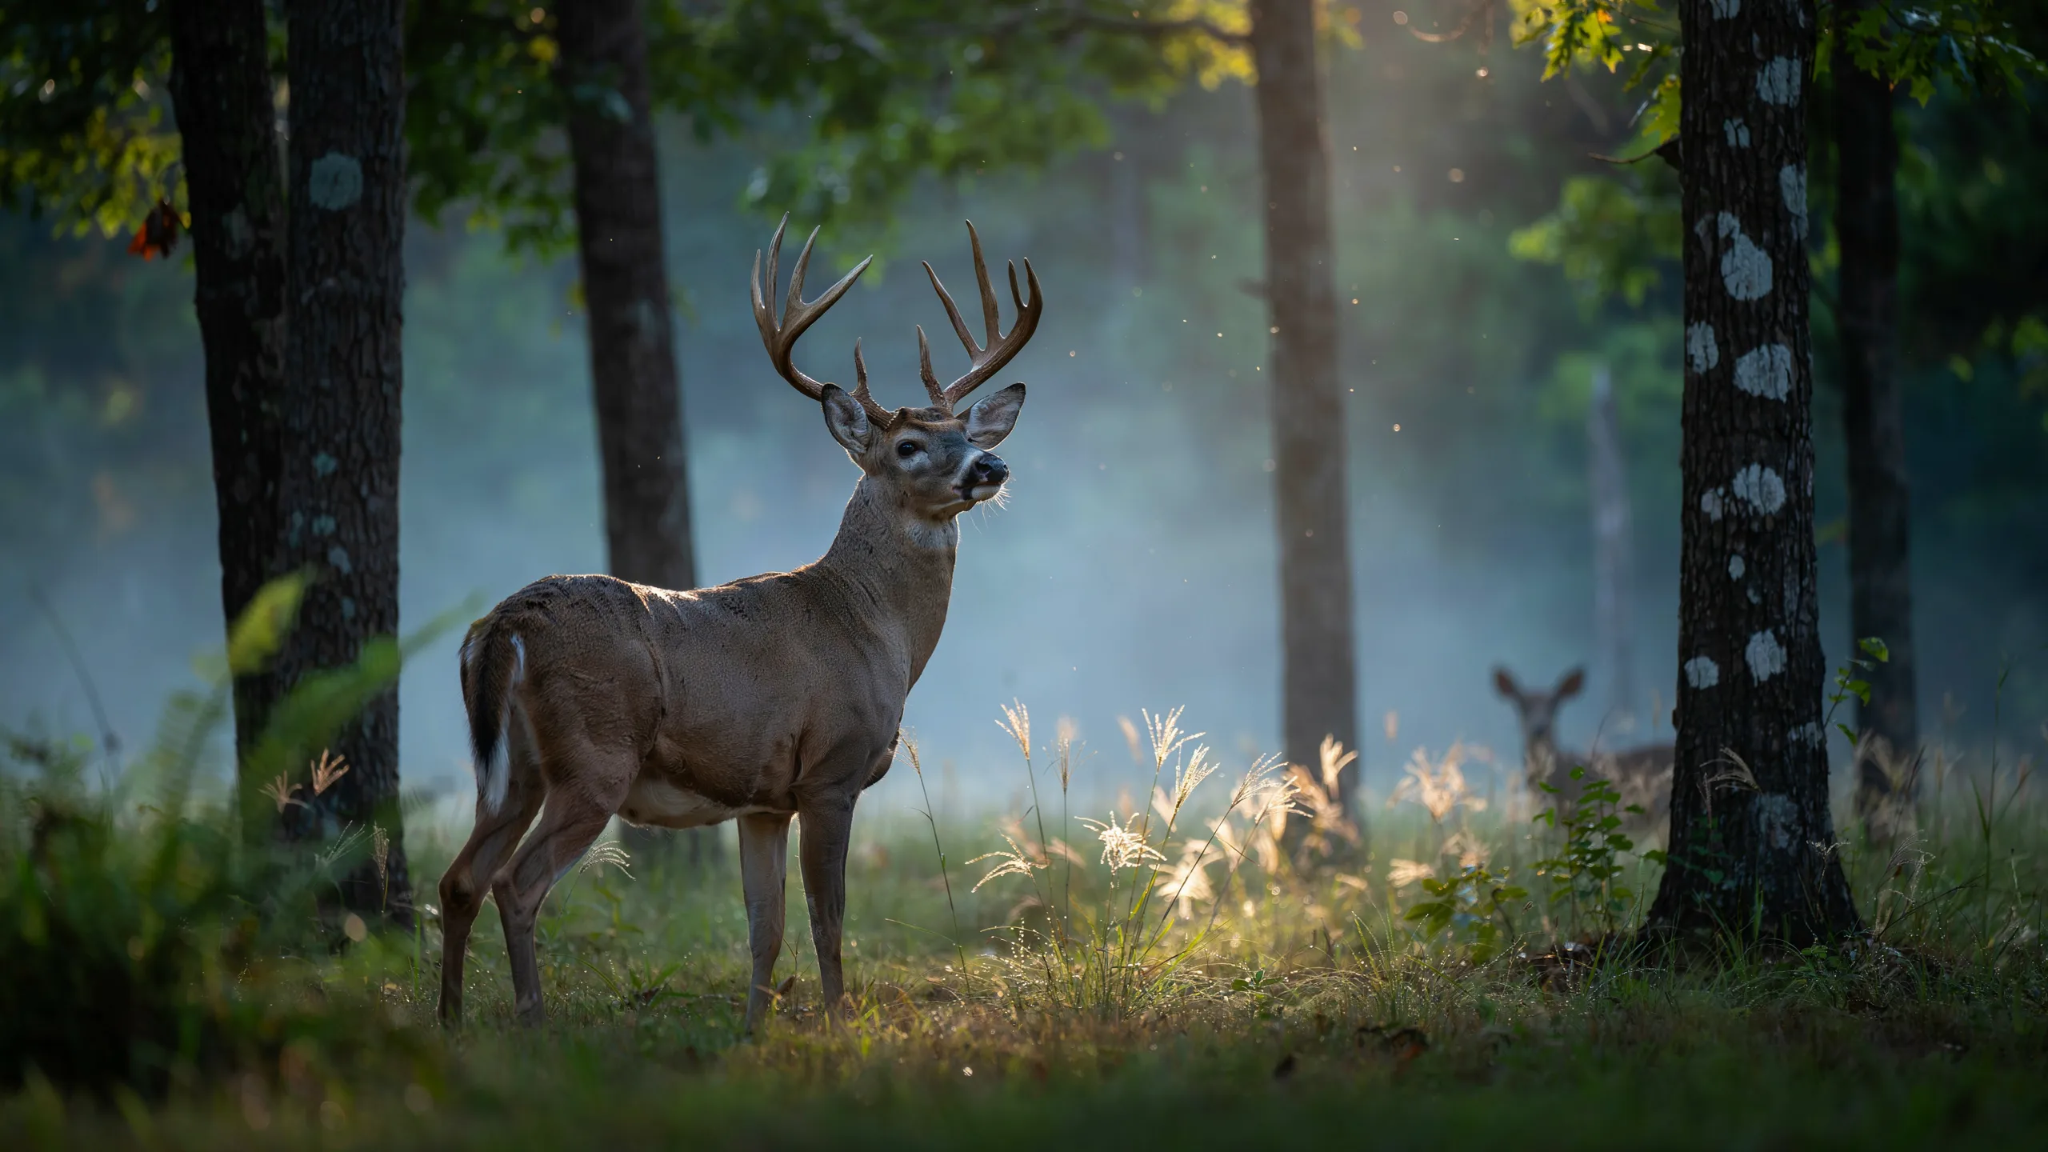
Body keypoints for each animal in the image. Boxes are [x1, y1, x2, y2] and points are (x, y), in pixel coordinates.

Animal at [436, 218, 1043, 1031]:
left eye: (964, 431)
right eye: (909, 446)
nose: (990, 467)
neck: (873, 627)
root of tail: (503, 623)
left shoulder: (761, 800)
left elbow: (766, 927)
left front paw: (755, 1033)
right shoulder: (830, 772)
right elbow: (827, 919)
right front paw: (839, 1026)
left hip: (512, 771)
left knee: (460, 880)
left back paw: (450, 1023)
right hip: (593, 757)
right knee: (517, 883)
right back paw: (531, 1022)